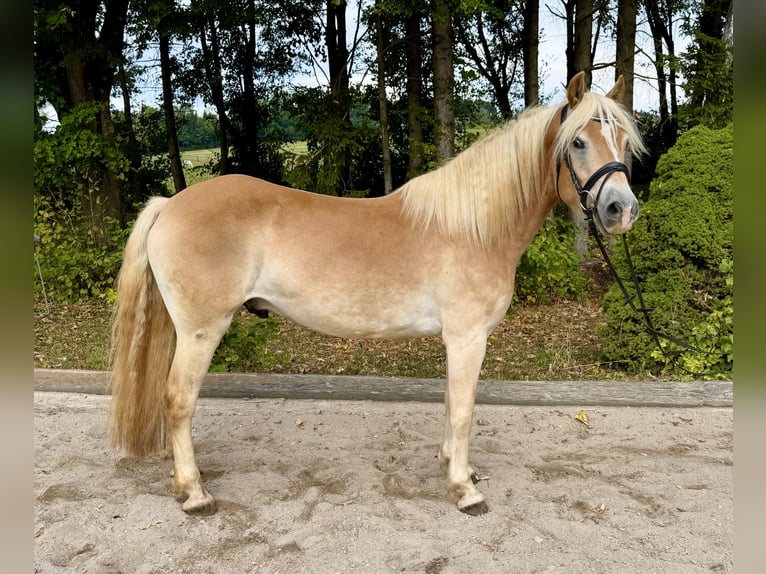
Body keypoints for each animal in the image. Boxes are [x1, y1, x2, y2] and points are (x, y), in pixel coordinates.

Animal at [108, 72, 646, 516]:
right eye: (578, 142)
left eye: (622, 139)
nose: (621, 210)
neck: (473, 230)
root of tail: (170, 203)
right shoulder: (468, 338)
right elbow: (465, 409)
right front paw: (464, 490)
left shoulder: (457, 341)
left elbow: (451, 403)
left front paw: (453, 466)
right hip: (202, 331)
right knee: (178, 400)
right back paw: (195, 493)